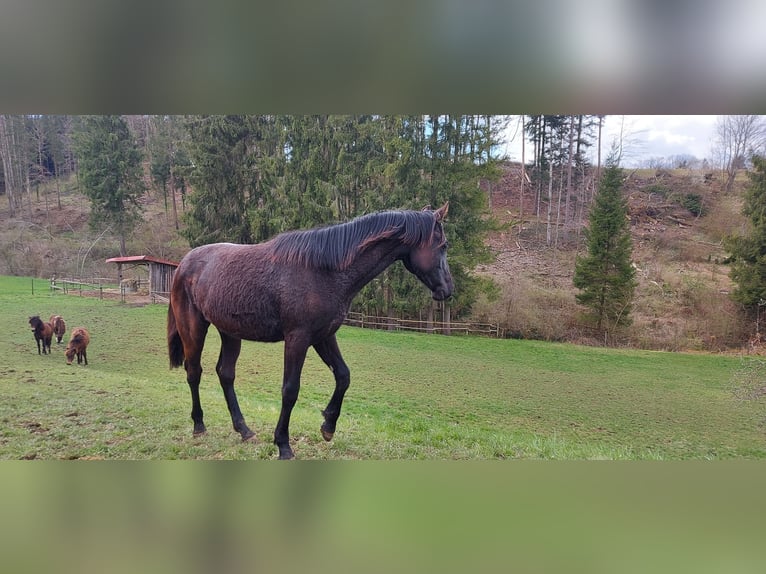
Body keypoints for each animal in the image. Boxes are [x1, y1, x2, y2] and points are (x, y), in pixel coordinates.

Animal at [168, 203, 453, 459]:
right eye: (443, 246)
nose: (448, 290)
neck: (323, 270)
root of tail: (184, 264)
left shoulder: (324, 336)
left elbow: (343, 376)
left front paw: (328, 425)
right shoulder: (298, 338)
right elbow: (290, 390)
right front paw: (283, 445)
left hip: (230, 332)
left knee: (225, 374)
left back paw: (244, 430)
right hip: (194, 330)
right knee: (194, 372)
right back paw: (199, 425)